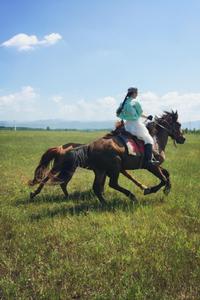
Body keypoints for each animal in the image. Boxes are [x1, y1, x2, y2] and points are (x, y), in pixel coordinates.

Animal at [29, 111, 186, 205]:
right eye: (178, 124)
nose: (183, 139)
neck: (155, 139)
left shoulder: (154, 165)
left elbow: (166, 174)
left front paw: (164, 189)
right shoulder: (151, 165)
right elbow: (163, 178)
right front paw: (152, 190)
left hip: (98, 170)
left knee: (93, 187)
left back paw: (103, 202)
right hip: (111, 166)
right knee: (111, 184)